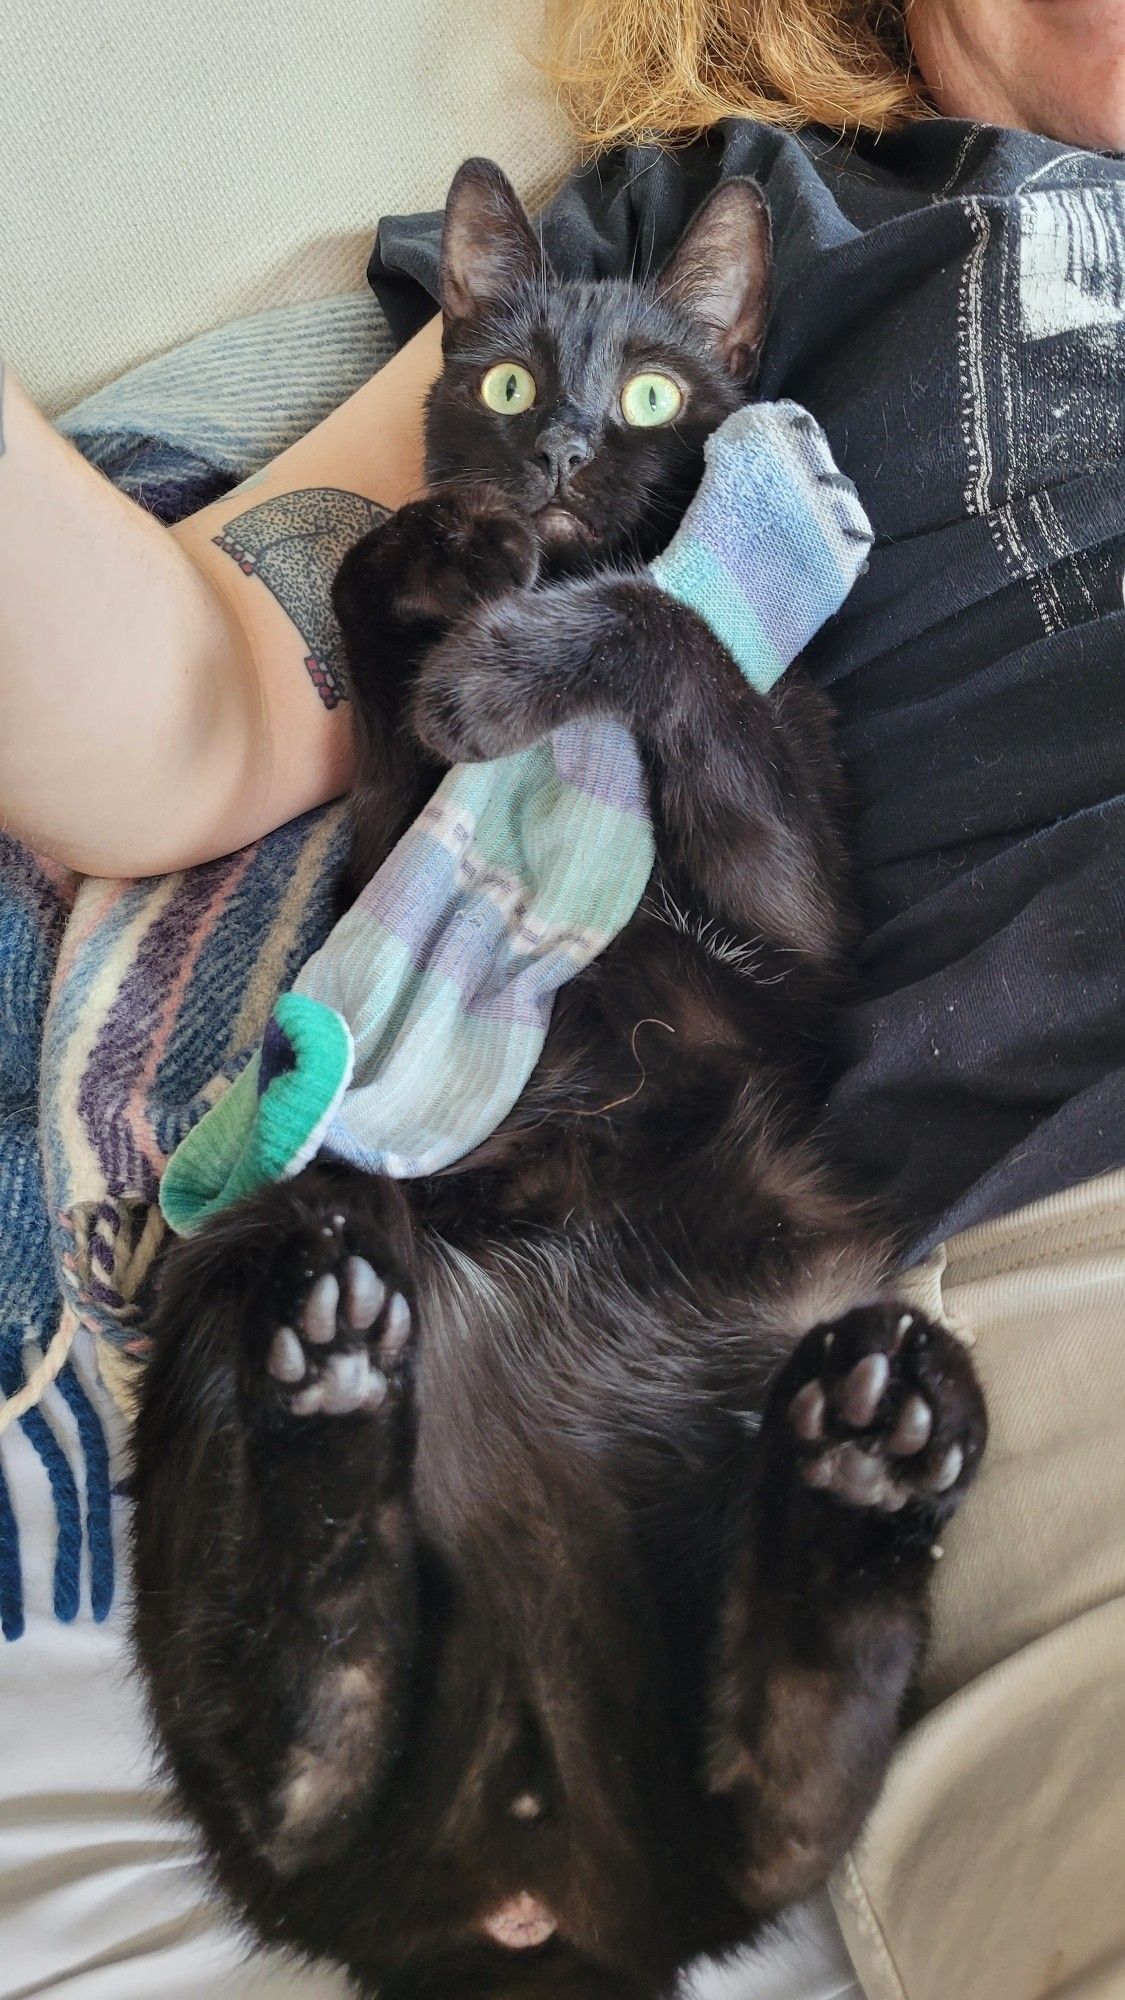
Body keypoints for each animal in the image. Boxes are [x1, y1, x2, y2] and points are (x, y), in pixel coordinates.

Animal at [131, 164, 980, 2000]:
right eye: (508, 383)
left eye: (652, 397)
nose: (563, 451)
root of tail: (528, 1881)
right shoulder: (389, 840)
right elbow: (375, 654)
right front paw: (444, 564)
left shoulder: (800, 920)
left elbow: (670, 624)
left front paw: (508, 656)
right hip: (267, 1246)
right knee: (306, 1750)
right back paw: (339, 1387)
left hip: (797, 1333)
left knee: (786, 1807)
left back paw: (866, 1460)